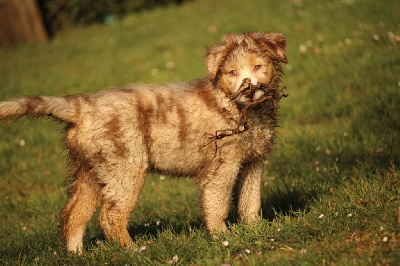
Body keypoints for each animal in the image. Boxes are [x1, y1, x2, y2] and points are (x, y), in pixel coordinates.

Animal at [0, 32, 288, 252]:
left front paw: (255, 231)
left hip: (91, 171)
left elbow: (251, 202)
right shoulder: (221, 167)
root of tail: (82, 107)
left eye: (258, 67)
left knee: (73, 214)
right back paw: (133, 251)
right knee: (110, 215)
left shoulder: (252, 161)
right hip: (125, 167)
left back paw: (77, 255)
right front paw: (224, 239)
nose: (249, 89)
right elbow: (217, 206)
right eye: (232, 72)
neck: (236, 106)